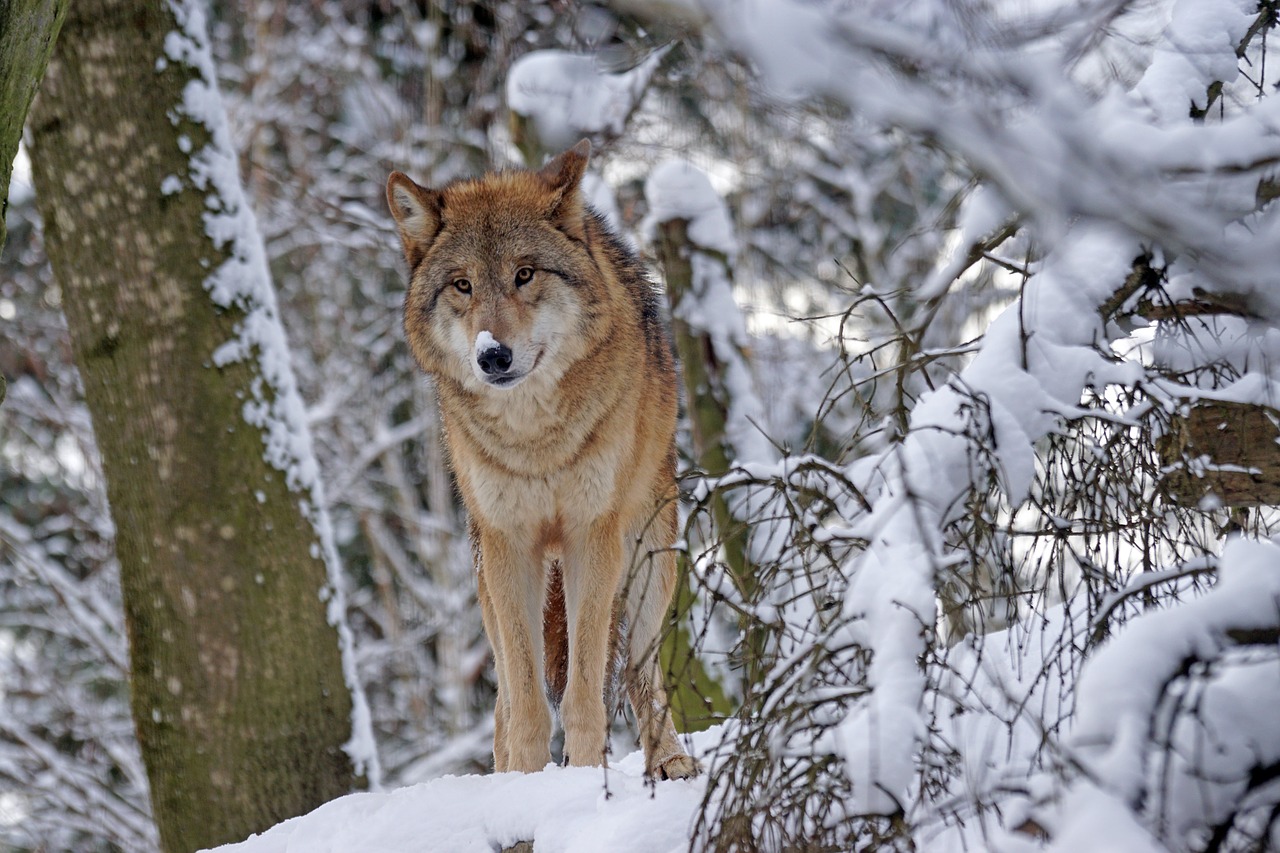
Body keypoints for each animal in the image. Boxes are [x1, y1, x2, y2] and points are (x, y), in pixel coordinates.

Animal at [389, 139, 706, 778]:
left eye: (524, 274)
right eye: (462, 285)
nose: (493, 356)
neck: (536, 440)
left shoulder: (592, 534)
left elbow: (584, 692)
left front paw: (582, 777)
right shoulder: (510, 547)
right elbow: (527, 699)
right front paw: (525, 782)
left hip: (650, 563)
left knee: (640, 672)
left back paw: (668, 761)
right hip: (488, 580)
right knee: (505, 700)